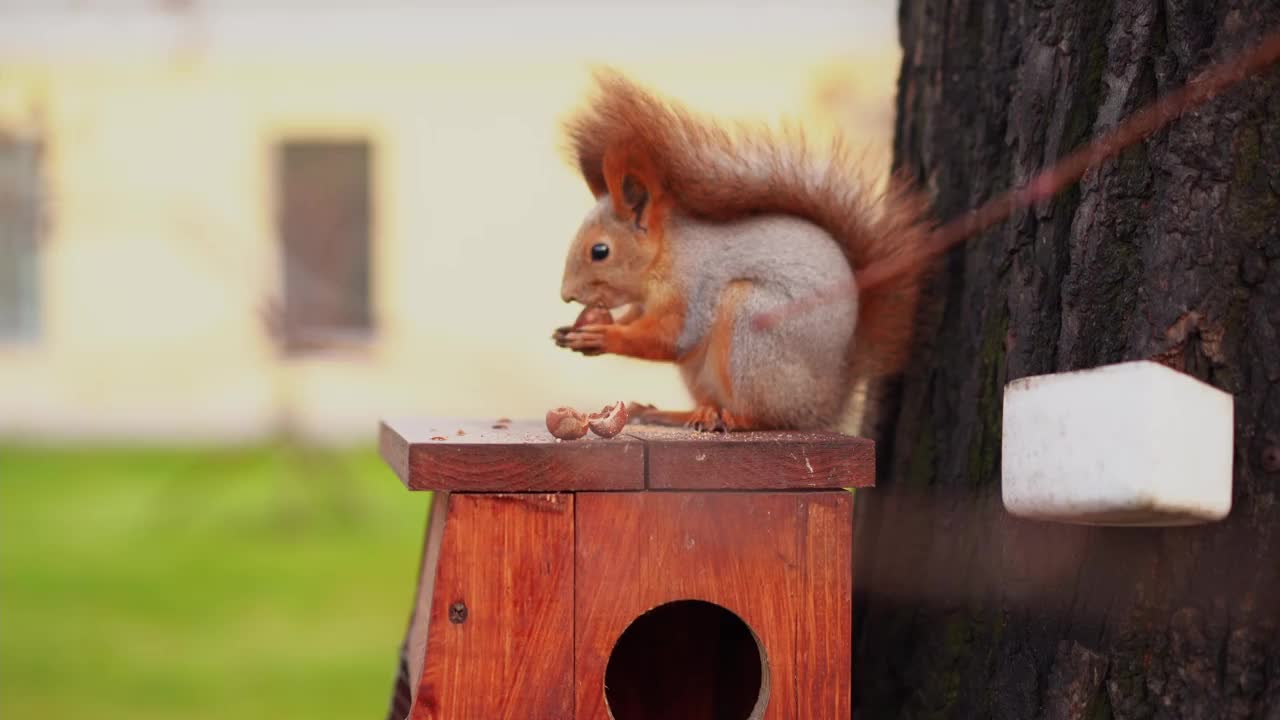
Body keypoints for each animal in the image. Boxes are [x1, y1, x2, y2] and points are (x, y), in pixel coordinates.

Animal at [550, 70, 931, 430]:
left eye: (600, 251)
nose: (567, 296)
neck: (667, 255)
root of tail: (827, 400)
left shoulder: (692, 291)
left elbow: (671, 338)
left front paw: (603, 336)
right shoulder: (646, 303)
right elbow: (636, 319)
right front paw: (574, 330)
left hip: (752, 324)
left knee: (770, 416)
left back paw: (736, 419)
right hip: (702, 372)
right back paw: (674, 414)